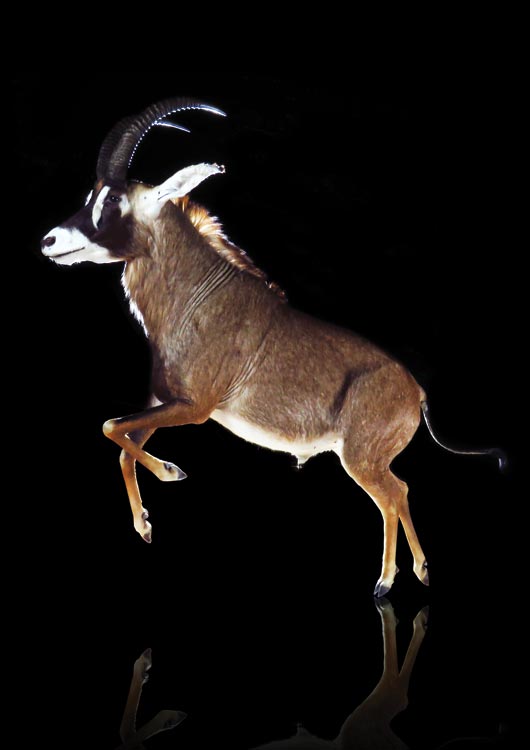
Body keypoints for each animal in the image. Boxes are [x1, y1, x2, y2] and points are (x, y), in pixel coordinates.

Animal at [41, 97, 505, 597]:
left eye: (113, 199)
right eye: (91, 194)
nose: (49, 241)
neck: (197, 297)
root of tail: (417, 393)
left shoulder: (195, 409)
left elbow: (110, 427)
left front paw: (171, 472)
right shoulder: (161, 402)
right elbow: (123, 442)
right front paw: (145, 524)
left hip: (361, 459)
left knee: (394, 493)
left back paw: (389, 580)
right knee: (397, 493)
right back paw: (415, 572)